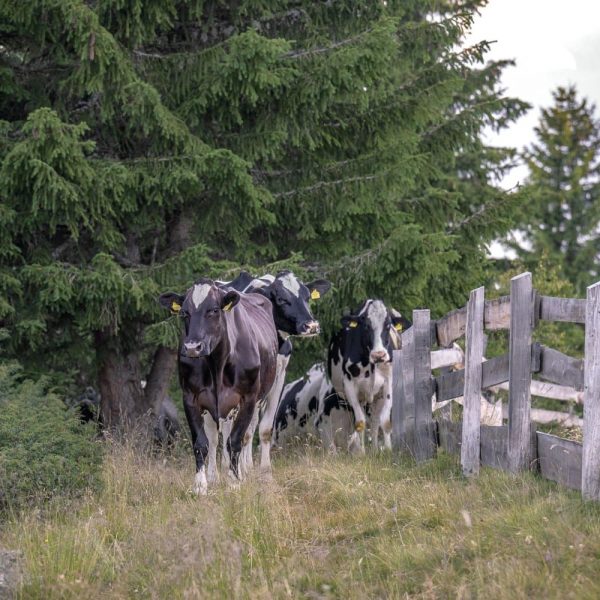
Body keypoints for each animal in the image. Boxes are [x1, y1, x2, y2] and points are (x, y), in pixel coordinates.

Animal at [326, 302, 410, 452]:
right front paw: (361, 453)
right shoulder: (349, 386)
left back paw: (375, 449)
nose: (379, 355)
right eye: (365, 325)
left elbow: (385, 421)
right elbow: (360, 422)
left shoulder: (388, 382)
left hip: (377, 397)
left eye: (388, 325)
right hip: (349, 397)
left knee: (375, 421)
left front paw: (388, 450)